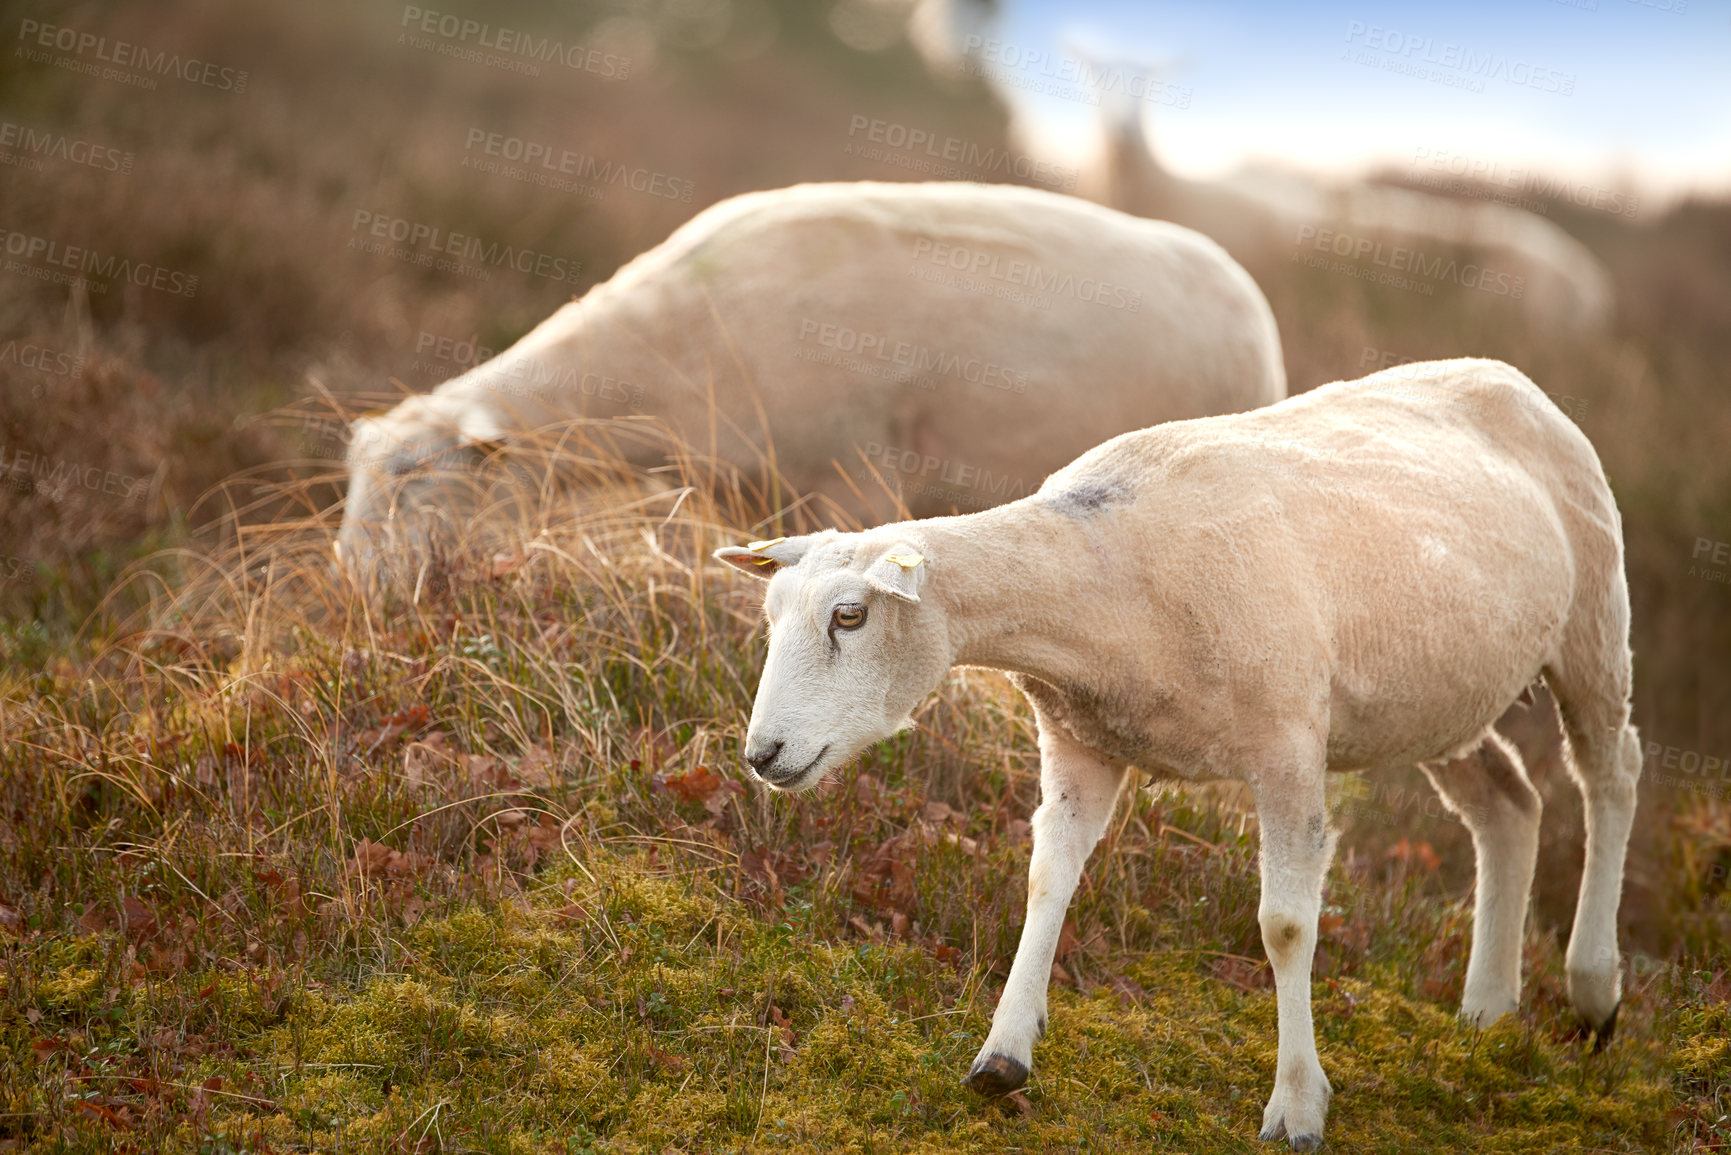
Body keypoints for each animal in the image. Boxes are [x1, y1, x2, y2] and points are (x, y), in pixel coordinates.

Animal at [713, 358, 1634, 1149]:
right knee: (1508, 803)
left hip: (1592, 616)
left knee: (1609, 773)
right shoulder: (1079, 742)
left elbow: (1285, 925)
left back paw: (1593, 987)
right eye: (771, 613)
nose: (762, 753)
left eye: (850, 616)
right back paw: (1487, 1011)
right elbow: (1046, 879)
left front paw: (1296, 1103)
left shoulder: (1286, 742)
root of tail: (1504, 373)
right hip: (1436, 696)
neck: (1097, 579)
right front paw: (1002, 1053)